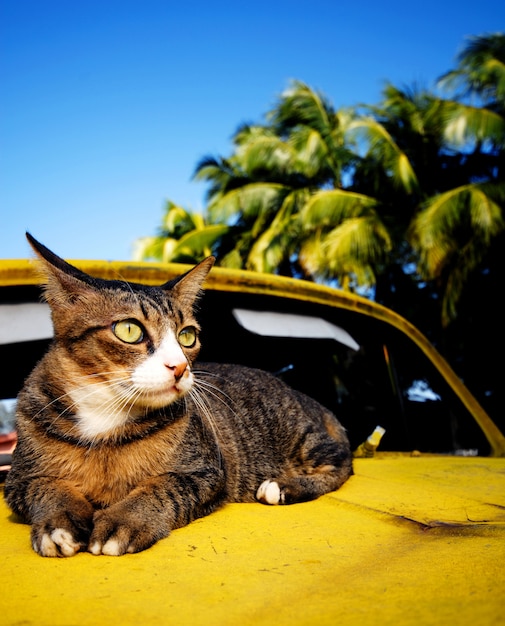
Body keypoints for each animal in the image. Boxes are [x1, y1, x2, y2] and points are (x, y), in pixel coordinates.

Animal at [3, 232, 352, 552]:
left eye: (187, 336)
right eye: (129, 330)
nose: (180, 366)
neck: (105, 421)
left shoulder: (205, 473)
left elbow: (160, 488)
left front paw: (123, 519)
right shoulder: (18, 480)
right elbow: (48, 489)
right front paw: (59, 522)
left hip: (302, 436)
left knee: (340, 463)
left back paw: (283, 486)